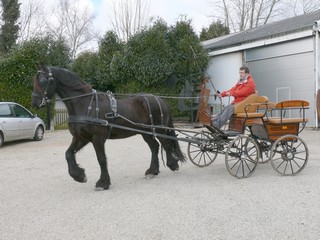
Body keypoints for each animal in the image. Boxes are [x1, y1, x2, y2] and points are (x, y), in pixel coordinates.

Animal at [31, 65, 186, 189]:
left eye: (43, 80)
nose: (34, 102)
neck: (85, 104)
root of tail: (160, 99)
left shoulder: (97, 138)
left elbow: (101, 159)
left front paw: (103, 182)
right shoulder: (81, 138)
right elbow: (68, 154)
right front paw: (79, 176)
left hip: (159, 129)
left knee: (165, 144)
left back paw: (172, 164)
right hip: (145, 132)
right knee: (155, 146)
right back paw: (152, 171)